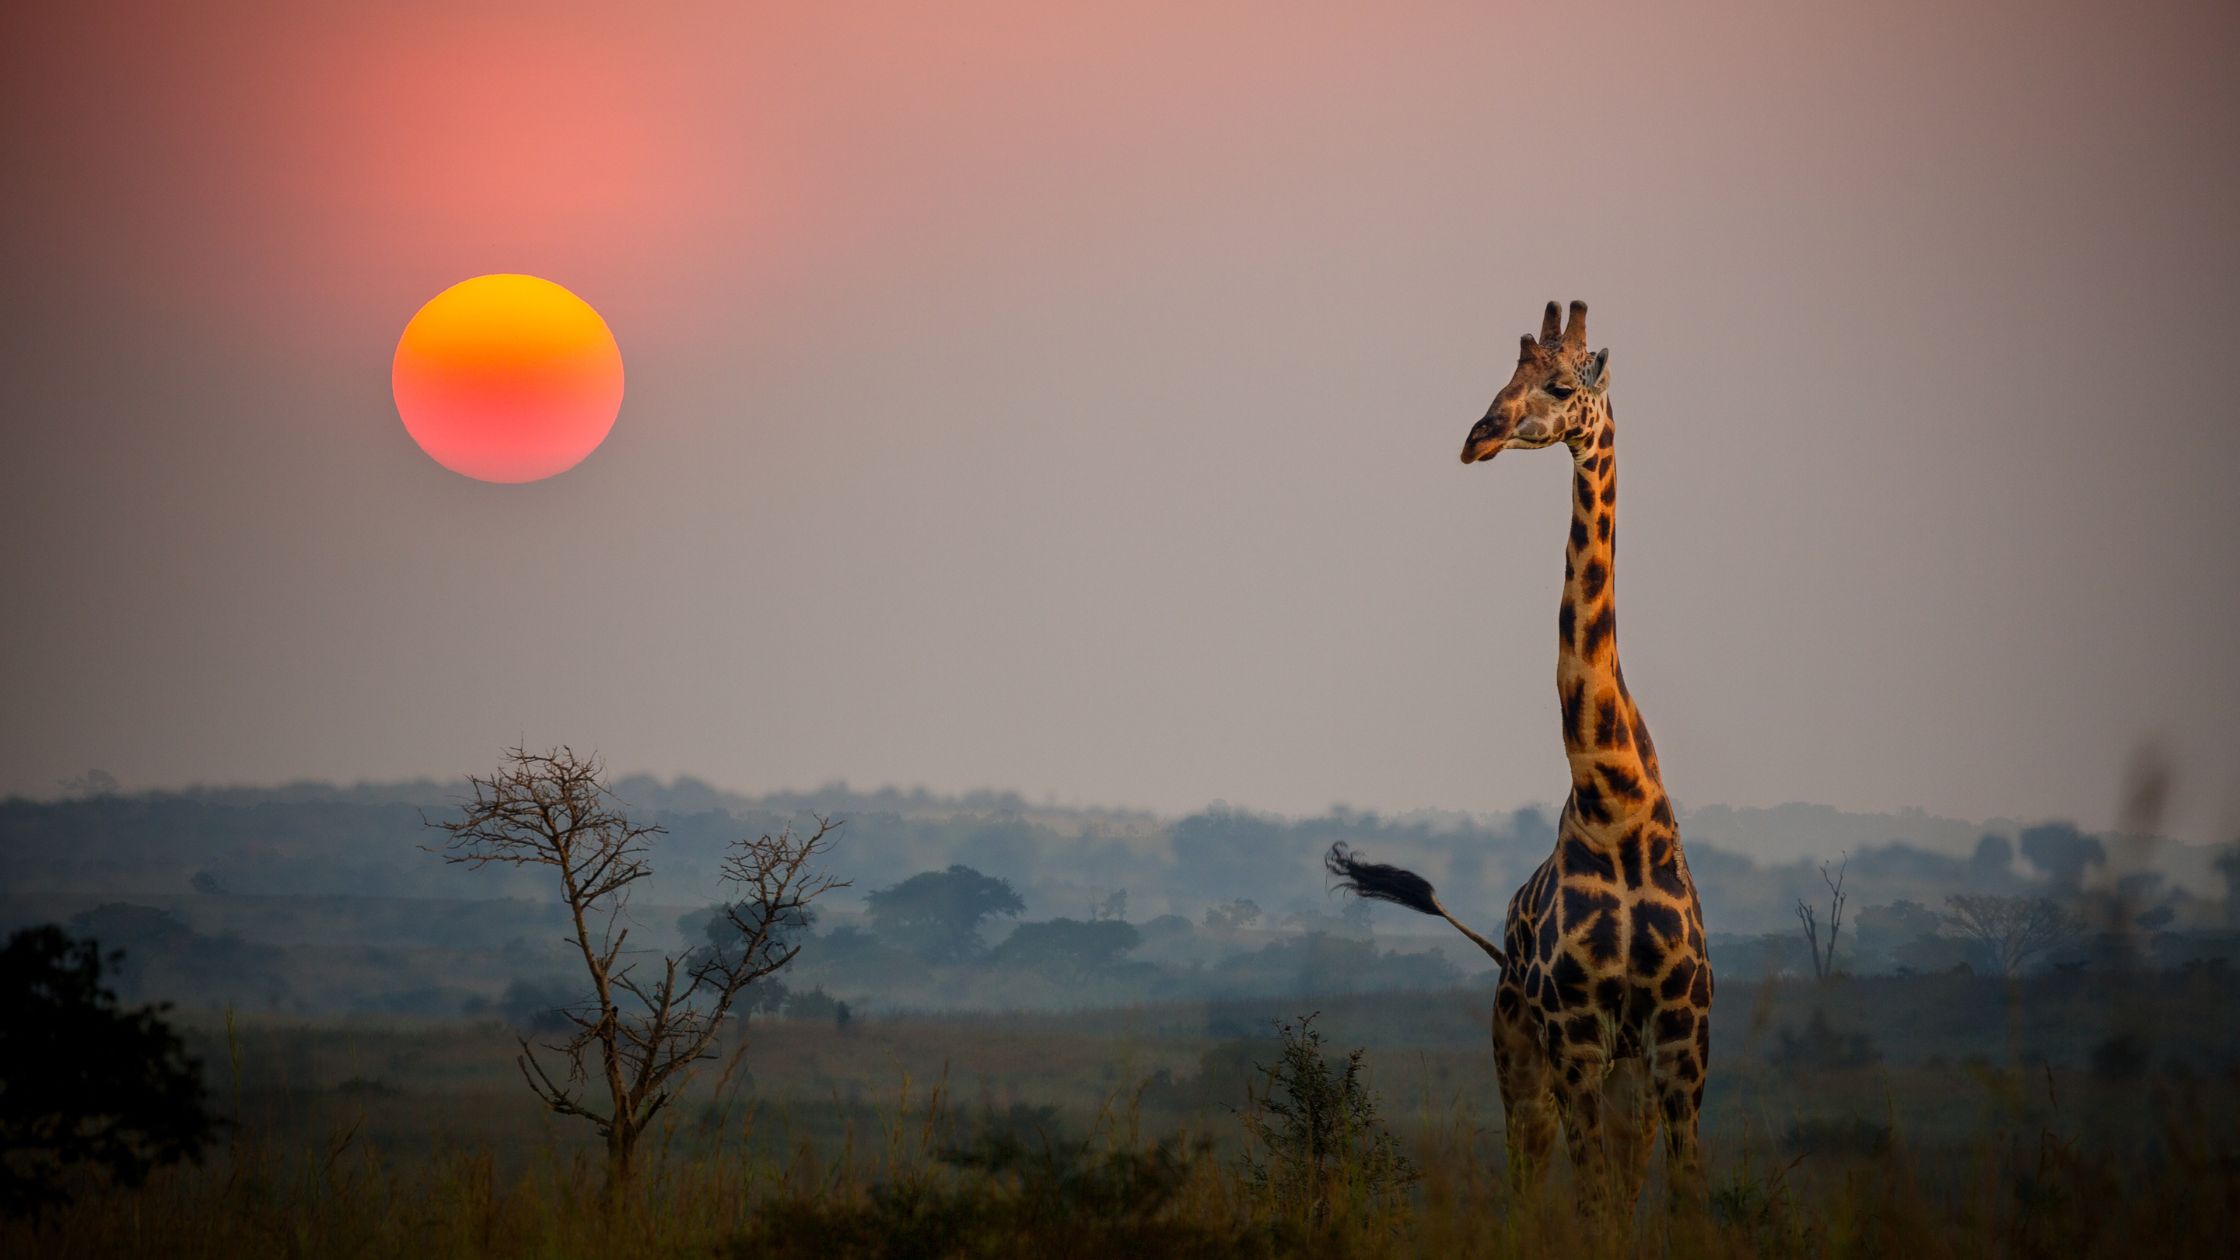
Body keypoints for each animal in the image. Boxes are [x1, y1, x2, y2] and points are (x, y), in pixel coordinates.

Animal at [1326, 298, 1711, 1210]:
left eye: (1563, 386)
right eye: (1503, 375)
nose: (1477, 435)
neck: (1617, 806)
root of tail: (1498, 943)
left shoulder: (1682, 1047)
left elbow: (1685, 1208)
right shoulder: (1573, 1041)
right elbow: (1595, 1209)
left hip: (1627, 1077)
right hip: (1522, 1058)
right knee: (1529, 1195)